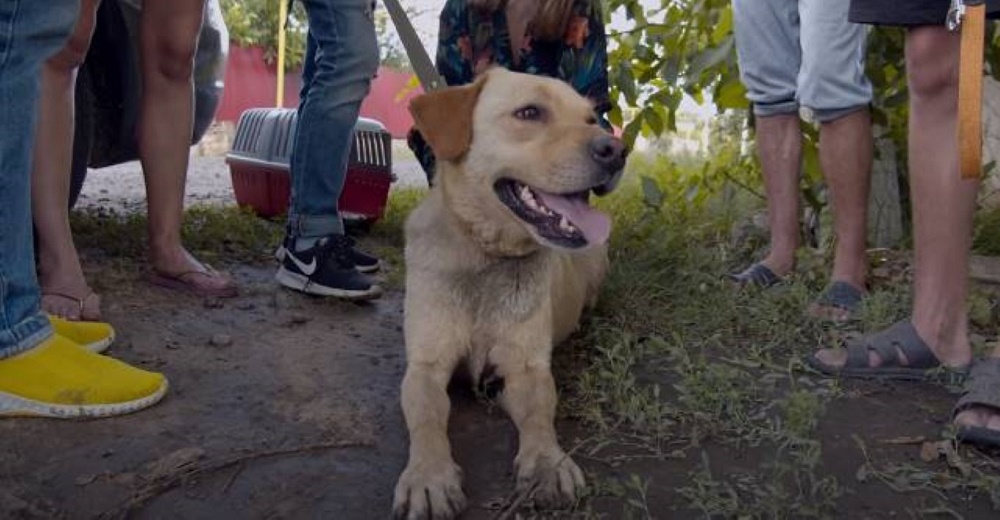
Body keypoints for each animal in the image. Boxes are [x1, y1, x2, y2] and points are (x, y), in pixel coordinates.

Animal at [390, 69, 624, 520]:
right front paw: (429, 475)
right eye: (529, 112)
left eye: (591, 119)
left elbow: (538, 415)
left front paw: (547, 462)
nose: (618, 150)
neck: (486, 257)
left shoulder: (525, 368)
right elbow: (425, 417)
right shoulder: (425, 366)